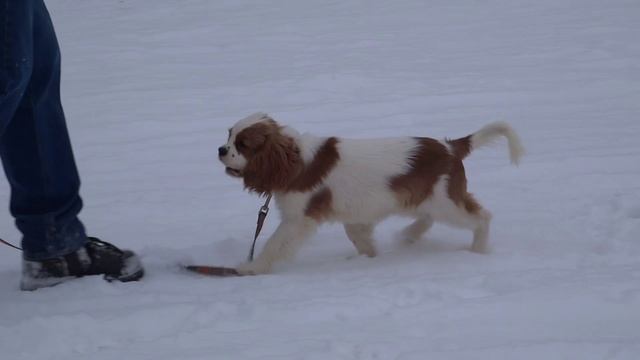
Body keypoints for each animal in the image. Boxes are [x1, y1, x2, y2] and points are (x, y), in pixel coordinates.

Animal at [218, 114, 524, 274]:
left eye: (242, 145)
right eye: (228, 136)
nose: (220, 150)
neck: (294, 159)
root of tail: (450, 147)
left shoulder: (298, 220)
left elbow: (274, 244)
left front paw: (251, 268)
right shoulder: (355, 213)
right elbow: (358, 235)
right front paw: (369, 257)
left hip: (445, 202)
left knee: (481, 217)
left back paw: (478, 251)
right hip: (422, 198)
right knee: (427, 218)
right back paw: (408, 235)